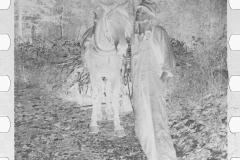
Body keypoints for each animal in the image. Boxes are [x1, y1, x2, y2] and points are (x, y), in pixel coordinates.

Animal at [81, 0, 132, 138]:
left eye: (126, 20)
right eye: (110, 21)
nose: (123, 47)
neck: (105, 52)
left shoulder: (115, 74)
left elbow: (113, 95)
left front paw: (118, 125)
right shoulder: (94, 74)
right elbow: (95, 95)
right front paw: (93, 123)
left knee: (106, 90)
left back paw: (108, 112)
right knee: (99, 90)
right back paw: (99, 113)